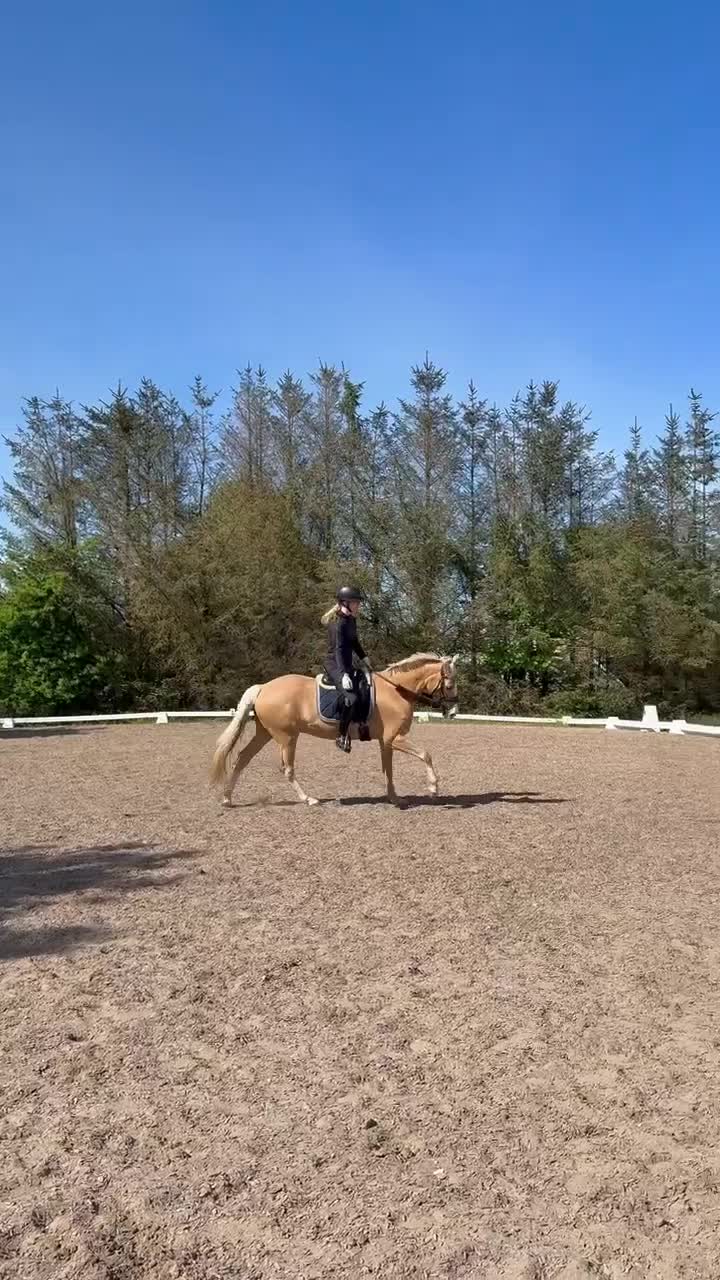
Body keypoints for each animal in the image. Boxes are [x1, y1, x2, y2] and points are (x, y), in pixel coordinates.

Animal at [209, 653, 459, 808]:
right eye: (449, 683)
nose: (454, 710)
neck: (396, 691)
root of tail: (263, 687)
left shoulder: (385, 741)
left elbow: (388, 770)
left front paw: (394, 799)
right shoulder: (395, 738)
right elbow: (426, 754)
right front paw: (433, 788)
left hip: (266, 733)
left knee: (242, 758)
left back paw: (227, 799)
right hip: (286, 737)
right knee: (286, 769)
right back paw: (309, 799)